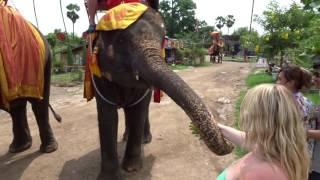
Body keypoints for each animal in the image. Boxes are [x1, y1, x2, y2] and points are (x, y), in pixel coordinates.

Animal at [87, 2, 232, 179]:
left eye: (162, 40)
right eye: (121, 39)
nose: (231, 143)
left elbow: (138, 111)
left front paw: (132, 169)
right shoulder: (98, 77)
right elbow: (107, 116)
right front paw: (109, 177)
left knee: (140, 110)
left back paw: (144, 140)